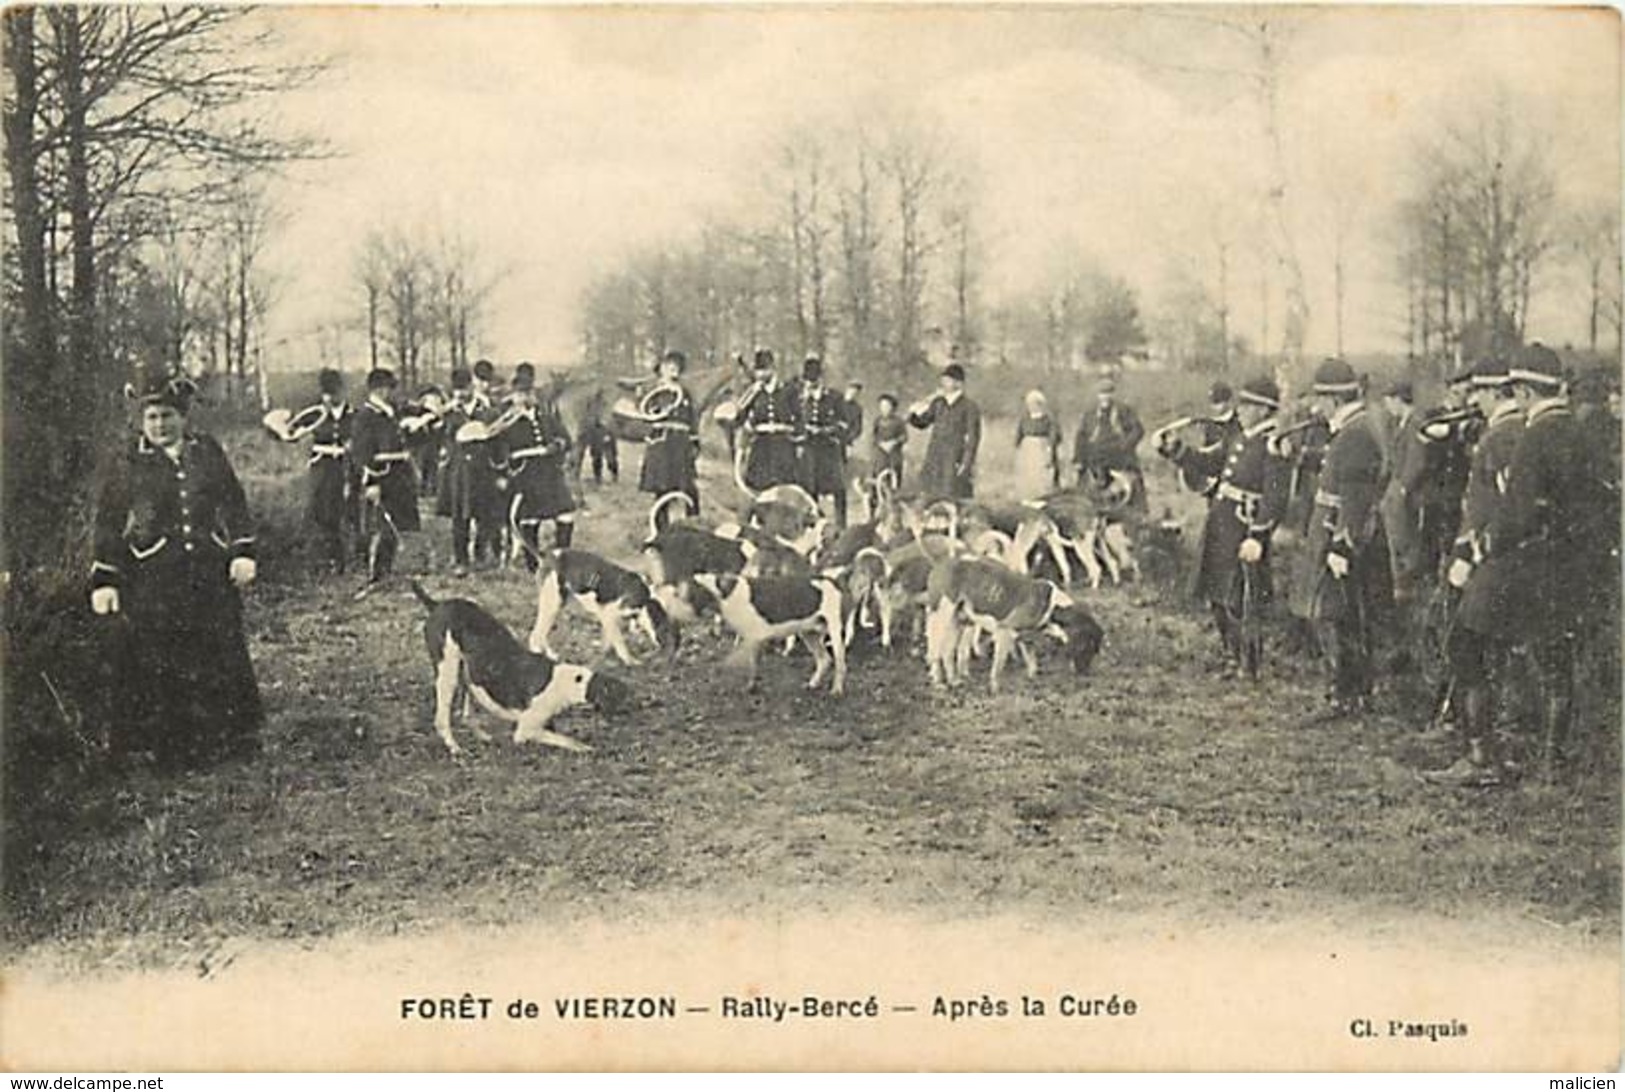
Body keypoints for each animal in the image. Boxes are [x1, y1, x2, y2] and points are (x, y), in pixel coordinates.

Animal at [409, 585, 630, 754]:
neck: (566, 682)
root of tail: (436, 604)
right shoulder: (526, 729)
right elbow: (567, 740)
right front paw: (585, 747)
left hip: (466, 676)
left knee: (465, 715)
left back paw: (483, 737)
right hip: (448, 675)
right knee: (441, 719)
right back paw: (454, 747)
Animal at [533, 546, 672, 666]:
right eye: (664, 630)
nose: (664, 650)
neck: (646, 600)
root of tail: (548, 555)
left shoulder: (609, 619)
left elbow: (607, 640)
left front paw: (604, 654)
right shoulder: (608, 615)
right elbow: (620, 642)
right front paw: (629, 660)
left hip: (555, 606)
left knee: (540, 635)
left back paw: (550, 654)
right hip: (552, 606)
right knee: (536, 635)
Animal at [689, 572, 851, 692]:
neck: (726, 593)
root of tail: (835, 583)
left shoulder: (755, 638)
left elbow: (750, 664)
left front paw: (750, 688)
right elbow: (753, 663)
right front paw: (751, 687)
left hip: (836, 630)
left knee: (840, 663)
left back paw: (836, 691)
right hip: (809, 633)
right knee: (824, 659)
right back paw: (812, 684)